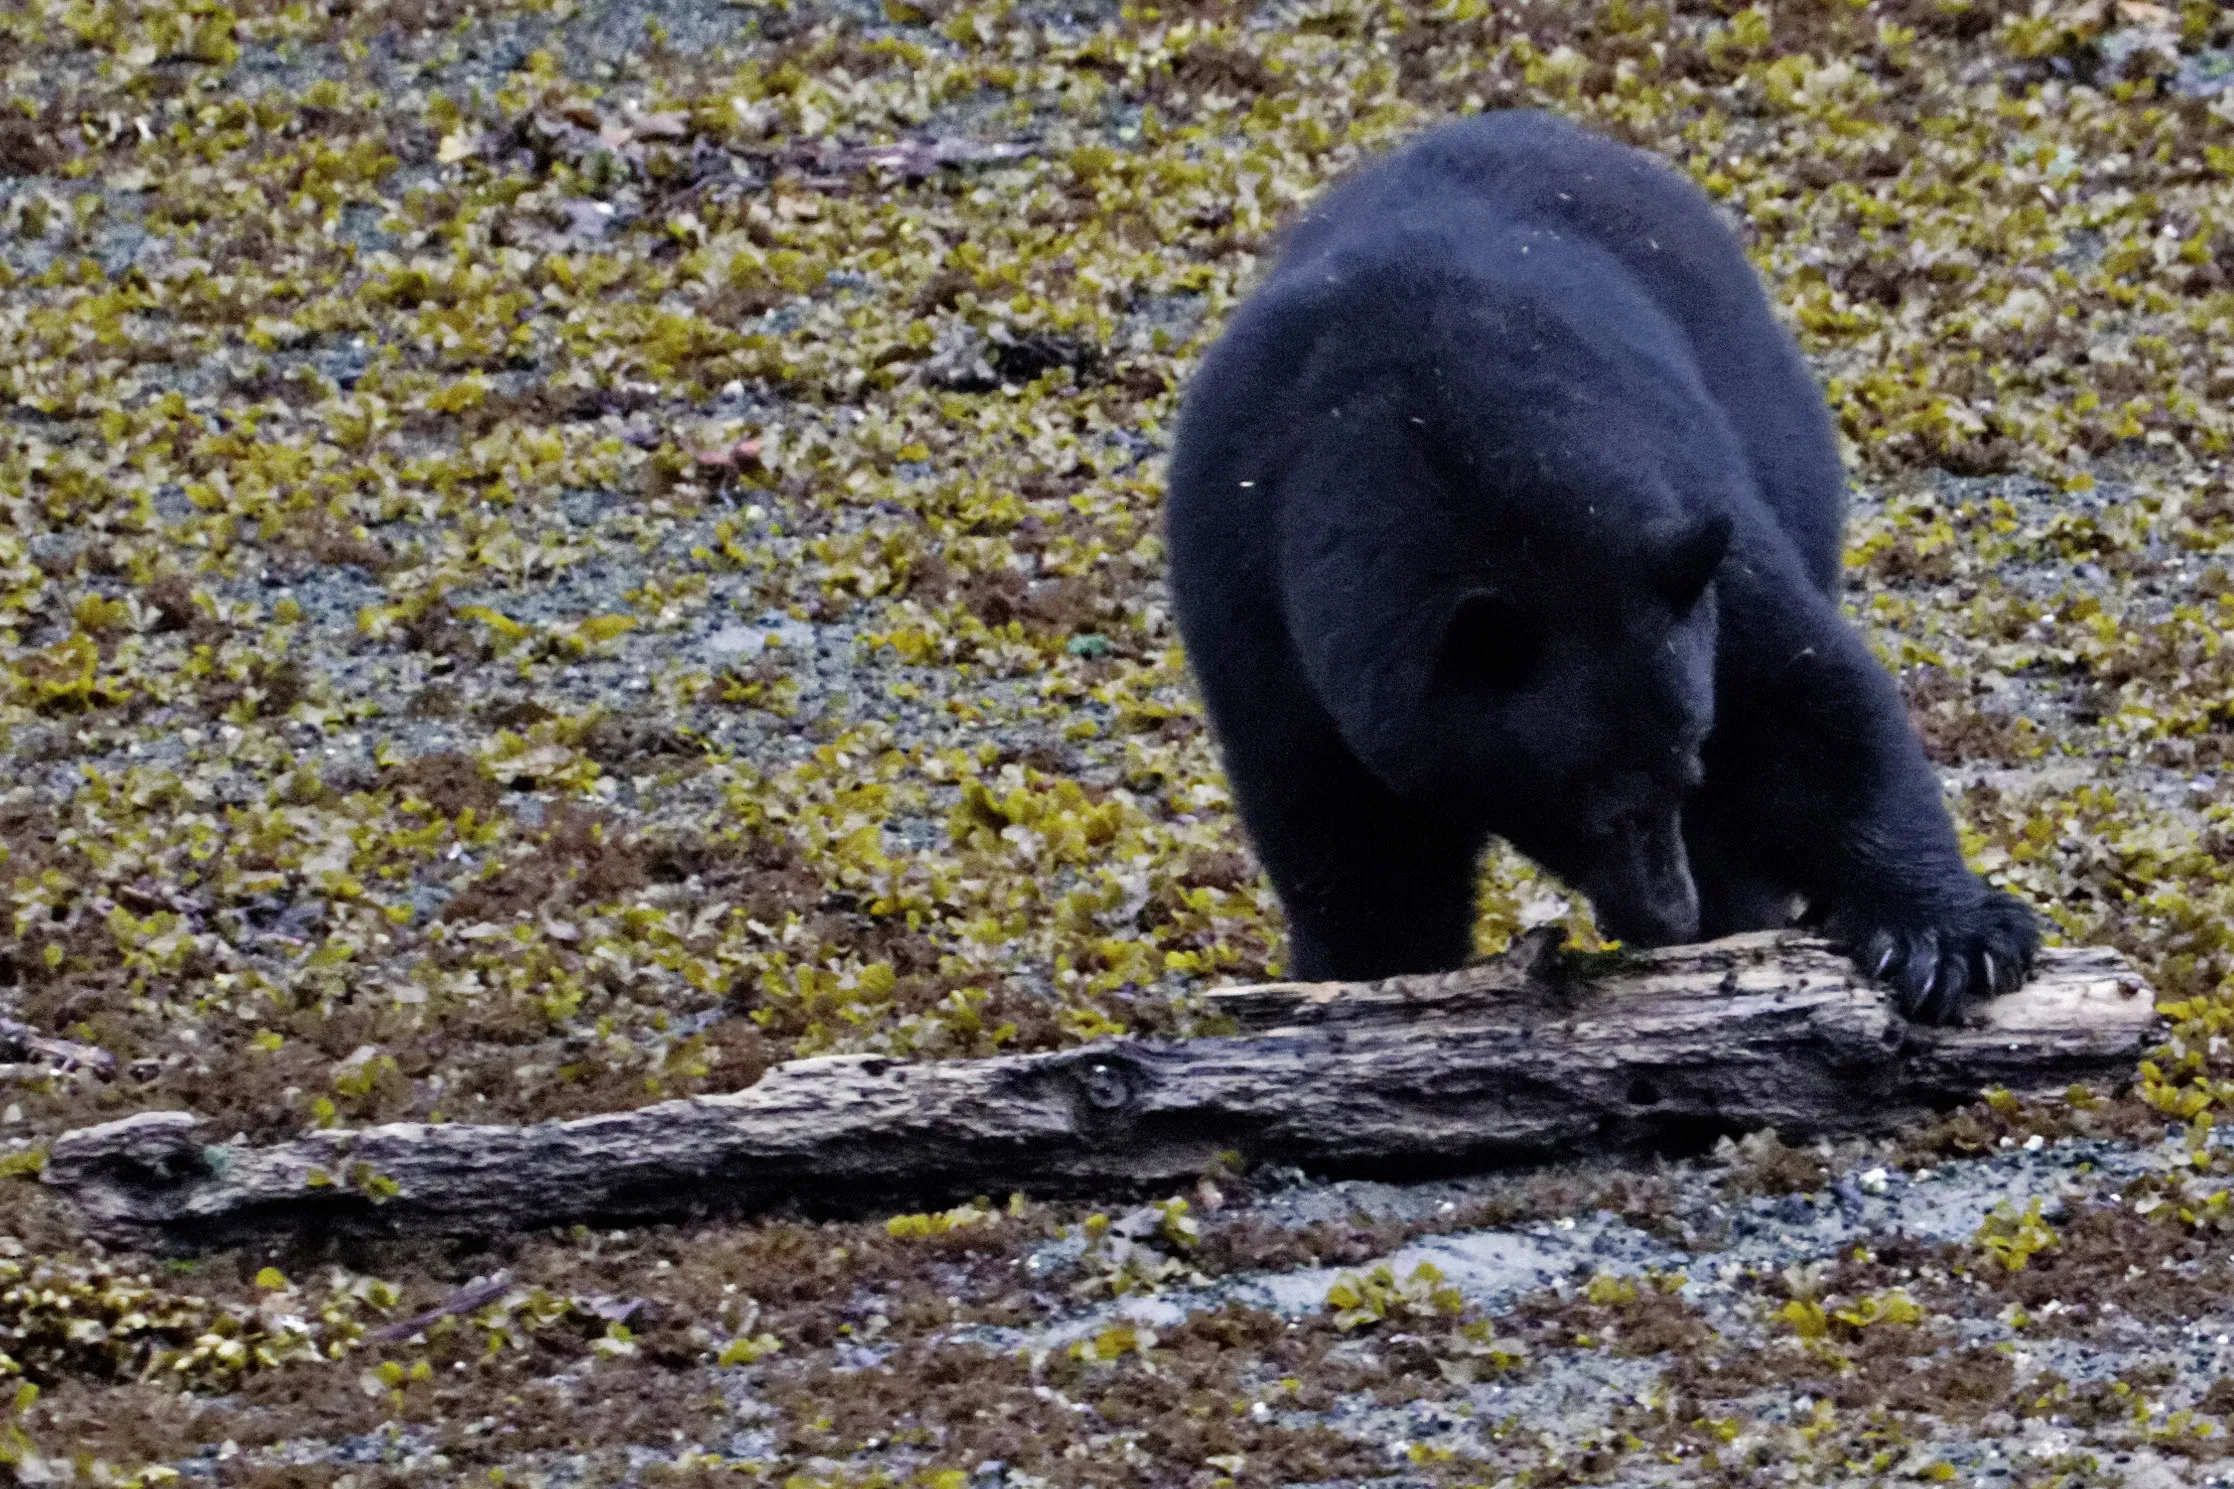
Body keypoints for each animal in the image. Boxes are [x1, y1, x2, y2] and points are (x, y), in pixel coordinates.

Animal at [1170, 110, 2046, 1026]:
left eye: (1688, 766)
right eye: (1583, 808)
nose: (1668, 918)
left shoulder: (1682, 528)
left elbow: (1805, 702)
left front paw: (1950, 938)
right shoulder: (1257, 596)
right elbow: (1352, 843)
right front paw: (1366, 982)